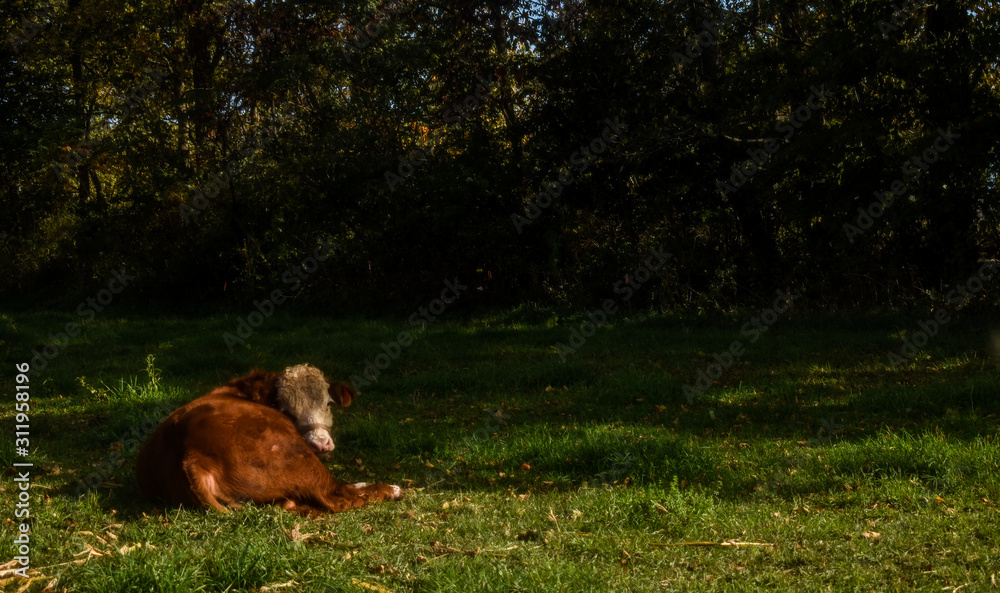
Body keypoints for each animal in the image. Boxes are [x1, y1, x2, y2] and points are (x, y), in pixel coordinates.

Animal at [136, 360, 402, 512]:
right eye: (286, 410)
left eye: (328, 403)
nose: (320, 444)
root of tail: (189, 455)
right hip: (296, 457)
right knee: (337, 497)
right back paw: (391, 488)